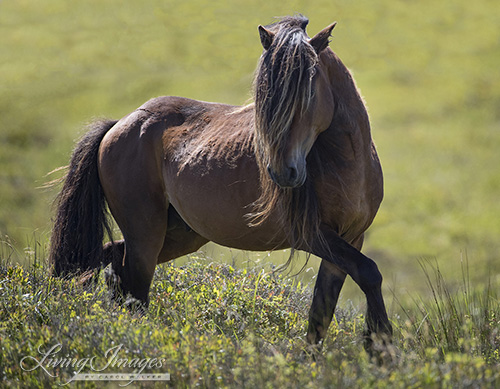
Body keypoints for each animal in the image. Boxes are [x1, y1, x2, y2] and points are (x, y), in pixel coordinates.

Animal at [48, 15, 392, 352]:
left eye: (308, 91)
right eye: (264, 96)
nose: (283, 173)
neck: (347, 163)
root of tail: (119, 125)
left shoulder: (351, 238)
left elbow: (322, 312)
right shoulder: (312, 235)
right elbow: (369, 273)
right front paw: (382, 347)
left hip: (179, 235)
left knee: (113, 259)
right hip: (146, 236)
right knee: (133, 289)